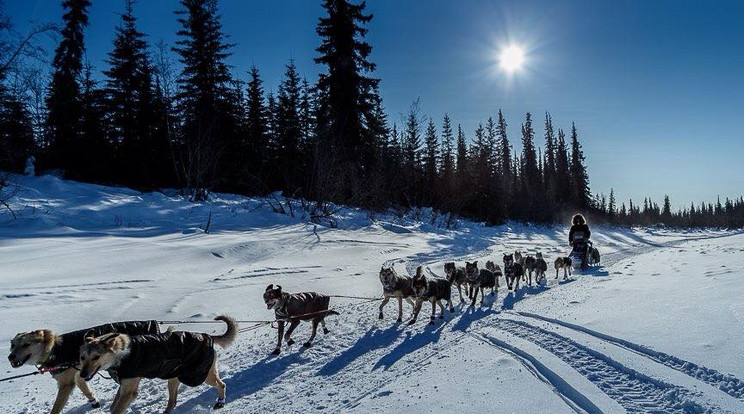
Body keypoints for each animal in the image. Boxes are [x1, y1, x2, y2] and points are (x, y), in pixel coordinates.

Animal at [6, 320, 158, 414]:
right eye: (13, 345)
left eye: (25, 345)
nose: (10, 357)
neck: (54, 349)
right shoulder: (80, 373)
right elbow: (85, 388)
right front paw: (94, 401)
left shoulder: (66, 383)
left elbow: (56, 408)